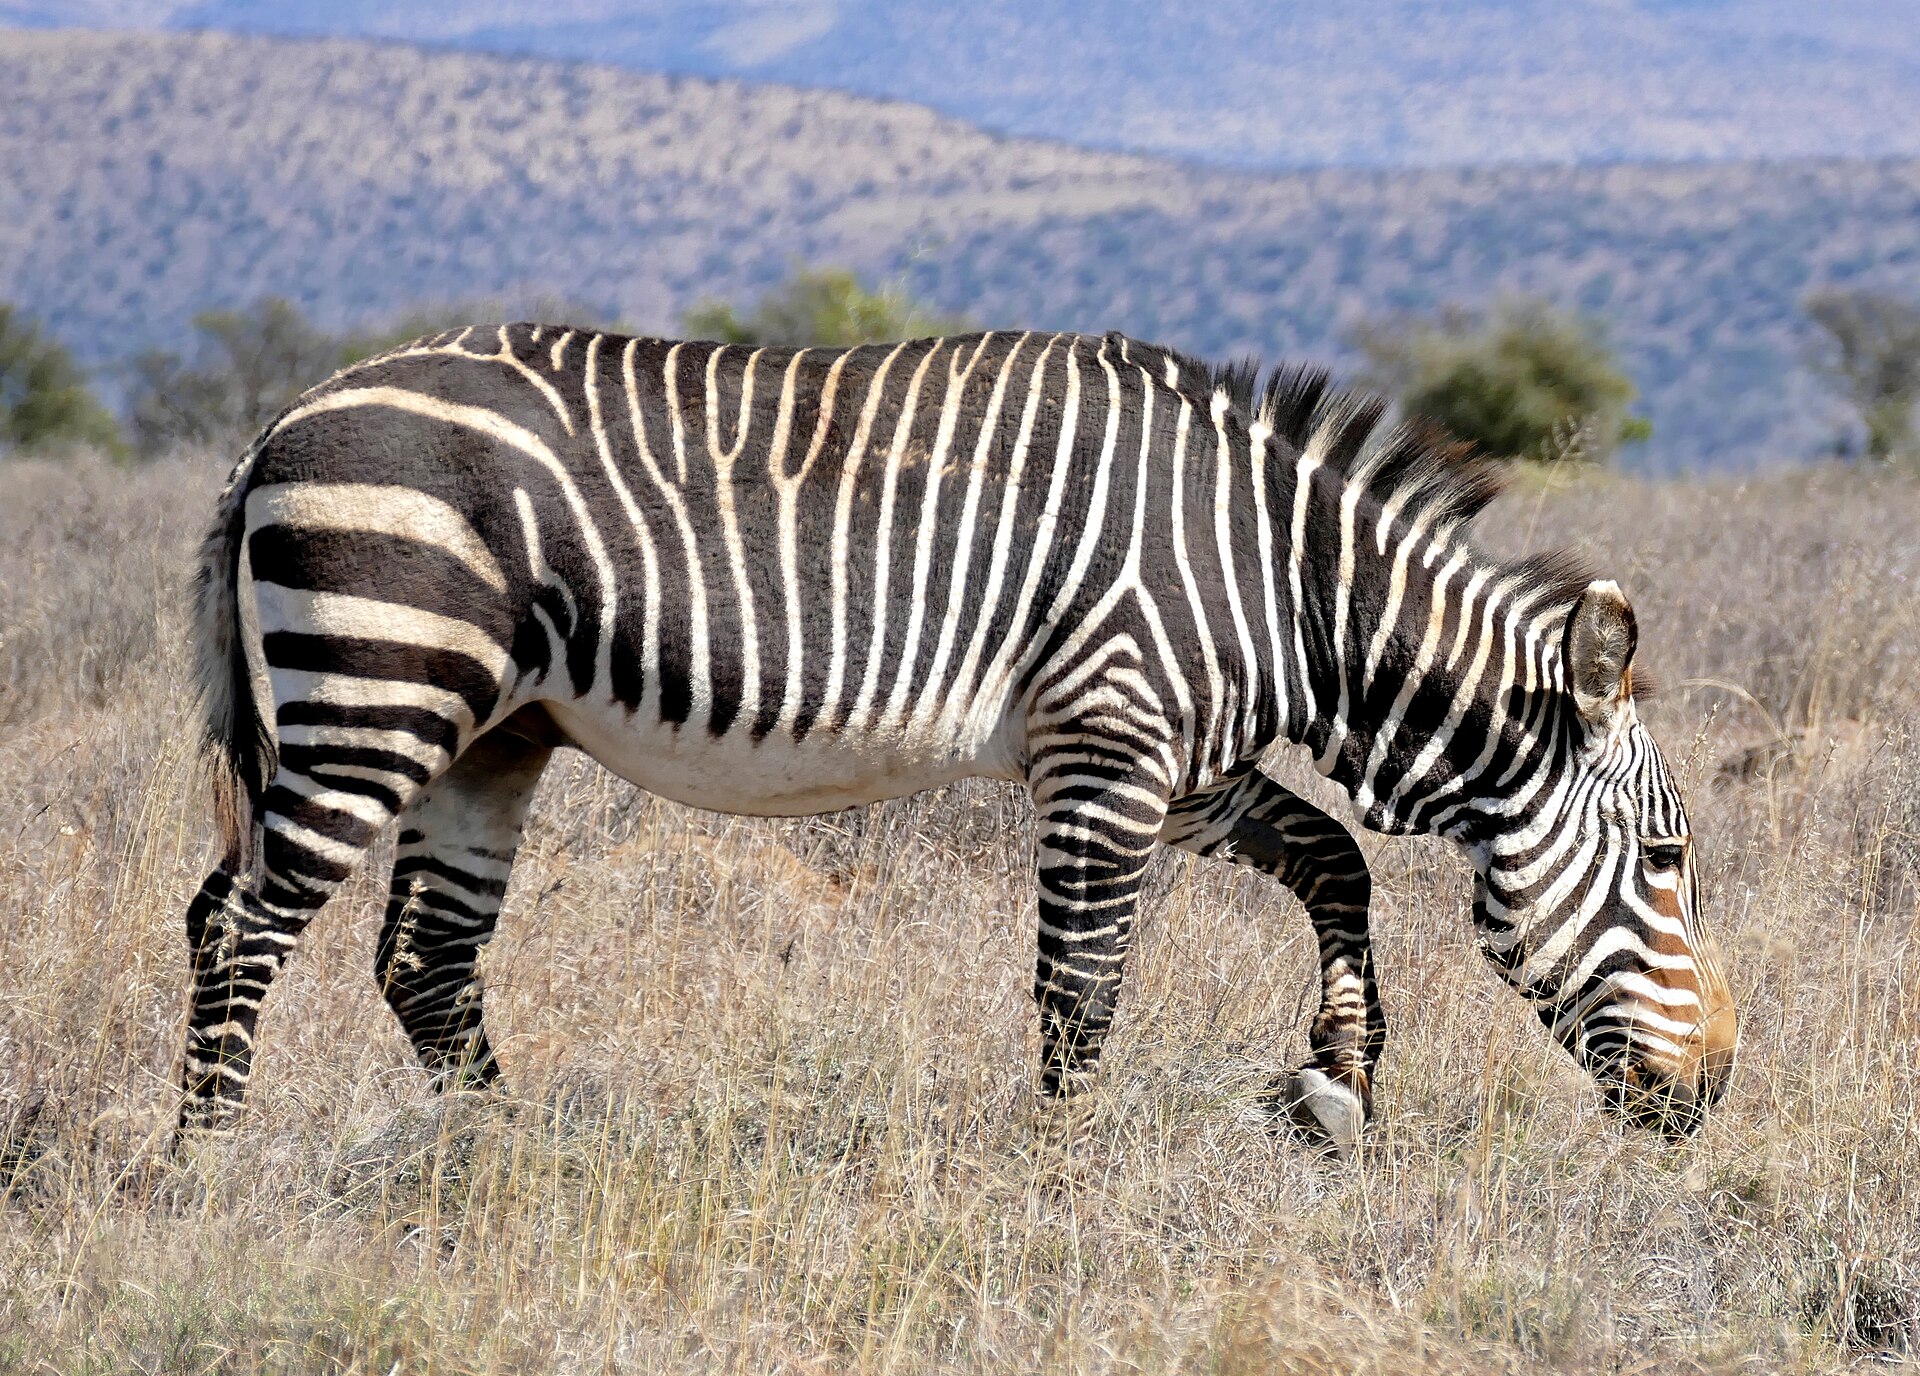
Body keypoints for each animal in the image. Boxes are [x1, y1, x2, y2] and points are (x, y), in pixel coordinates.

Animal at [176, 324, 1738, 1150]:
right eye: (1668, 862)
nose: (1718, 1086)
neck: (1287, 585)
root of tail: (278, 423)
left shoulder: (1178, 763)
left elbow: (1336, 861)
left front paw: (1336, 1084)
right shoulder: (1108, 752)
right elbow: (1081, 991)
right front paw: (1067, 1181)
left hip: (488, 736)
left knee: (419, 958)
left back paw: (507, 1159)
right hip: (380, 688)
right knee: (241, 927)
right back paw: (209, 1170)